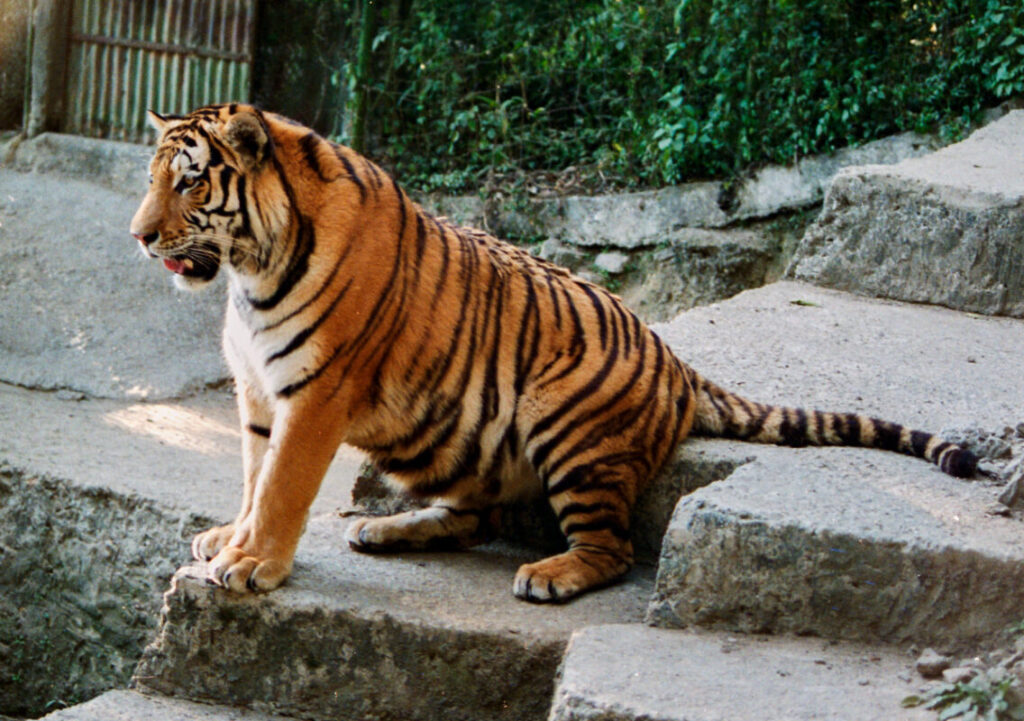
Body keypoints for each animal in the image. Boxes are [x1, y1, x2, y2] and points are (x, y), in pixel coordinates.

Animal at [129, 103, 979, 603]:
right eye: (153, 178)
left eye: (189, 183)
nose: (138, 236)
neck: (251, 269)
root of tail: (678, 364)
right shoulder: (259, 392)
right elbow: (252, 475)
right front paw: (231, 537)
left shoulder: (315, 395)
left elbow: (281, 486)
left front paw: (252, 563)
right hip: (453, 436)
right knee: (475, 515)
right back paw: (387, 528)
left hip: (565, 426)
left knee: (612, 550)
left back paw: (549, 574)